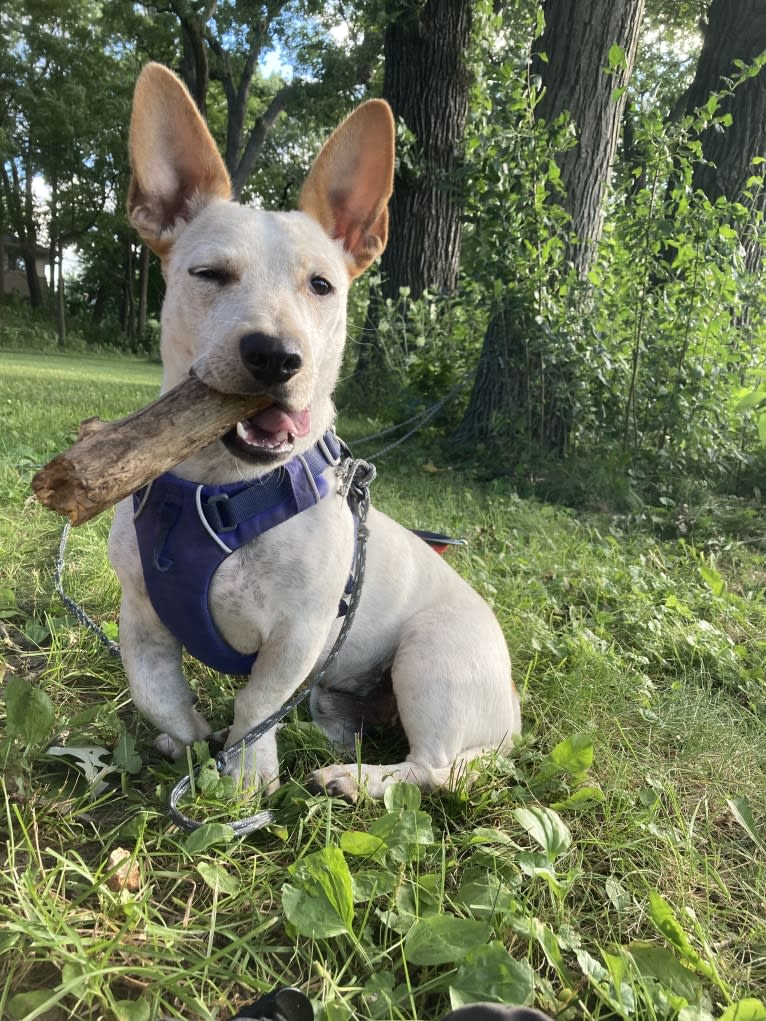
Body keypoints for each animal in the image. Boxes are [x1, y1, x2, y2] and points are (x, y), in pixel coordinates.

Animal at [108, 63, 522, 800]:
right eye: (209, 273)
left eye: (322, 286)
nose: (277, 356)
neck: (222, 492)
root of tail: (513, 713)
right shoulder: (141, 615)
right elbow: (156, 690)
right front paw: (188, 740)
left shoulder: (298, 636)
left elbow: (255, 702)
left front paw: (243, 777)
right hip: (343, 687)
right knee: (344, 717)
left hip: (429, 658)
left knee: (436, 767)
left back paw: (355, 781)